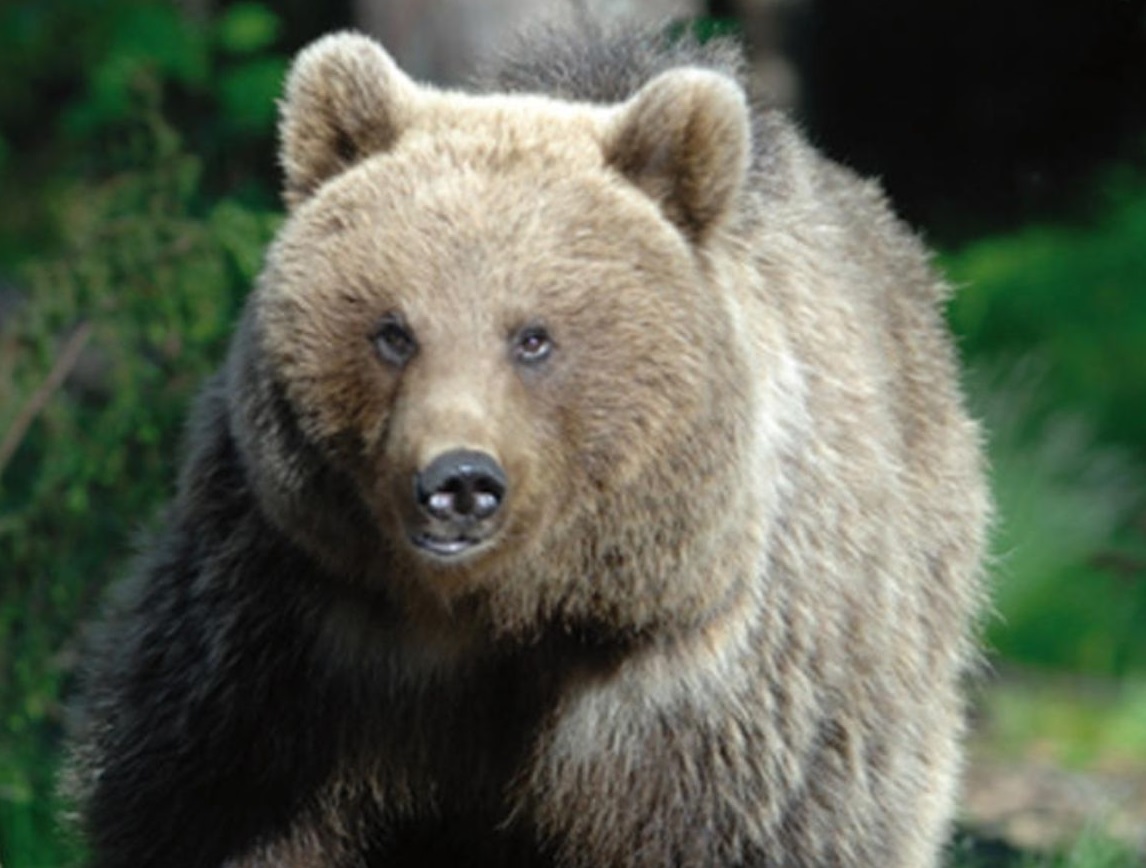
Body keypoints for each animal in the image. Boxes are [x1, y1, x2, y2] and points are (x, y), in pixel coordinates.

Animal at [63, 20, 989, 868]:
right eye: (393, 331)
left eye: (534, 337)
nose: (458, 482)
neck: (511, 615)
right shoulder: (292, 639)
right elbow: (213, 798)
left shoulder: (711, 691)